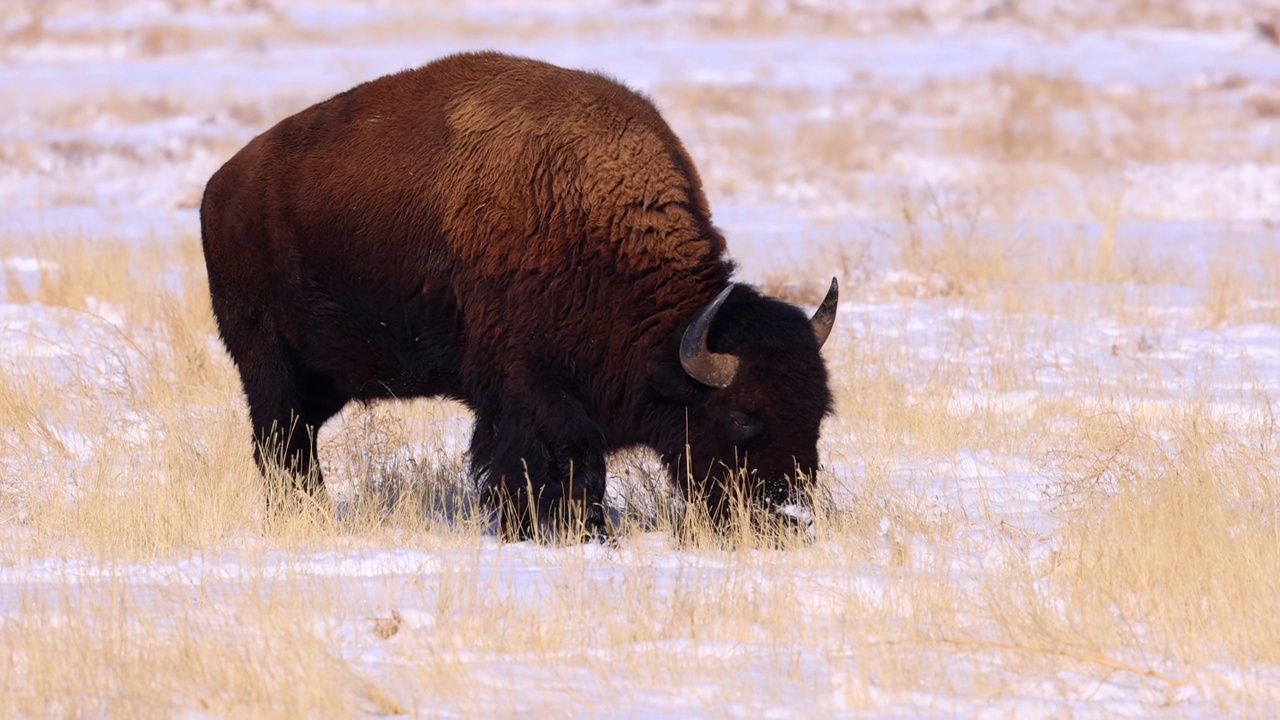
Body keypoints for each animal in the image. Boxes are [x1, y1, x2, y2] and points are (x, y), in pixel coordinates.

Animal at [199, 51, 839, 538]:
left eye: (818, 413)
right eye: (742, 417)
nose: (791, 519)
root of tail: (220, 187)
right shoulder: (528, 391)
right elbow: (552, 465)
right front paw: (560, 531)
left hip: (327, 378)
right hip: (267, 362)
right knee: (281, 444)